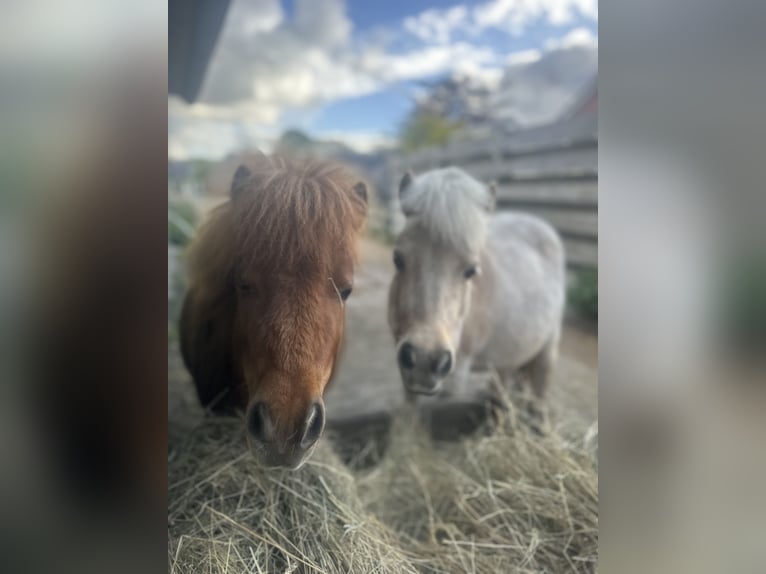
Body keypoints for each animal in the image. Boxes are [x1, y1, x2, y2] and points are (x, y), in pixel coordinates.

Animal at [388, 167, 565, 424]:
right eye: (398, 259)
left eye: (471, 270)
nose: (424, 359)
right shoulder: (406, 371)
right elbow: (408, 414)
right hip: (509, 357)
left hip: (547, 352)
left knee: (540, 393)